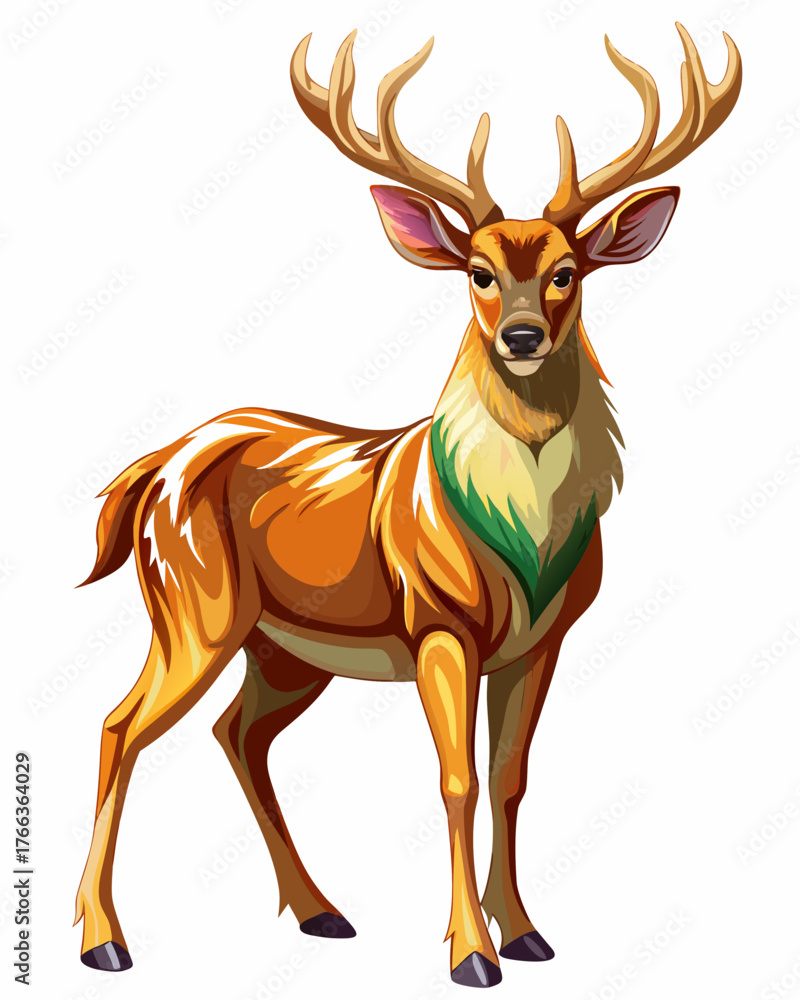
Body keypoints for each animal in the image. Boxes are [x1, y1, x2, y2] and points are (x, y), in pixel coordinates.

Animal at [74, 24, 741, 988]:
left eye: (568, 272)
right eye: (479, 272)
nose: (523, 336)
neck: (525, 541)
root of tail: (154, 466)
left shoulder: (543, 640)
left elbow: (512, 778)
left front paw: (527, 933)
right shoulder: (439, 623)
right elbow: (457, 780)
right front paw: (471, 956)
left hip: (284, 648)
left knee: (238, 735)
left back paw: (321, 912)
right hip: (193, 606)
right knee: (120, 727)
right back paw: (105, 940)